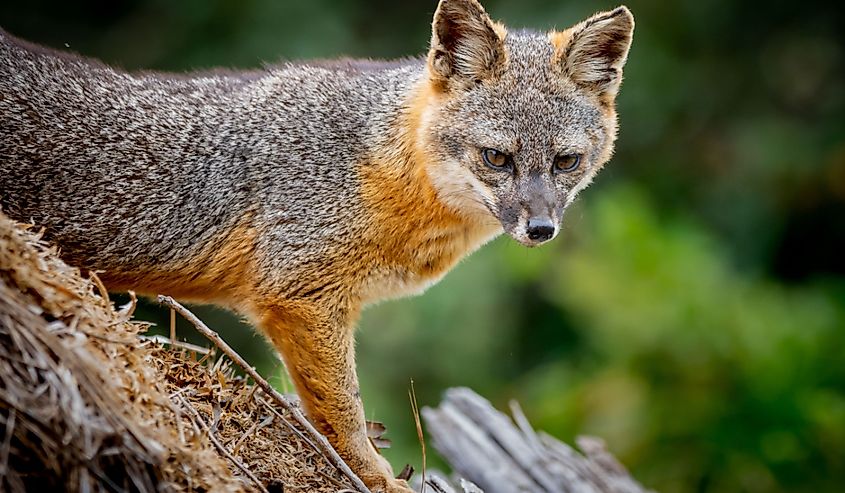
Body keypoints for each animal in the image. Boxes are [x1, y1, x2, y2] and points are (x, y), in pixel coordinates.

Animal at [0, 1, 632, 490]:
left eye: (566, 162)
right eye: (497, 158)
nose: (540, 229)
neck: (381, 165)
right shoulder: (302, 296)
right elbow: (341, 410)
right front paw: (373, 476)